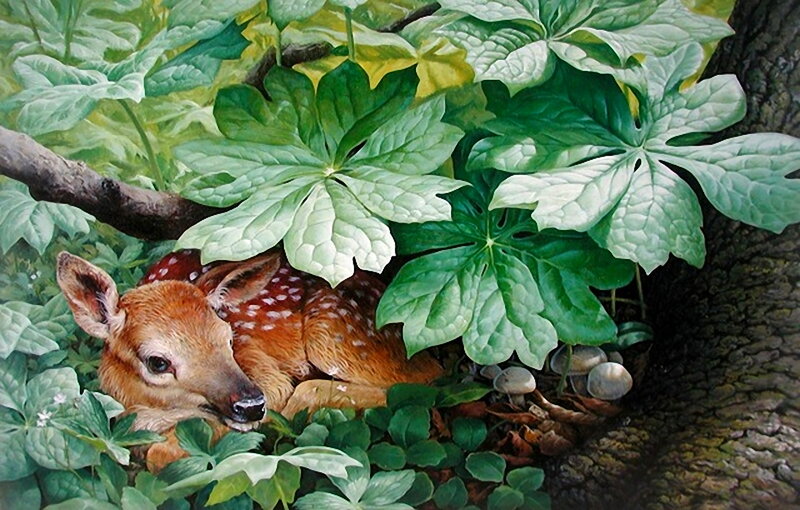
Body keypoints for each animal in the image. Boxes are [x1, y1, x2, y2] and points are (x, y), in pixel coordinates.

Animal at [56, 248, 442, 467]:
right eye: (157, 362)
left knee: (423, 382)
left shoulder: (265, 373)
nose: (251, 404)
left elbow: (160, 456)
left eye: (228, 339)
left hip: (334, 329)